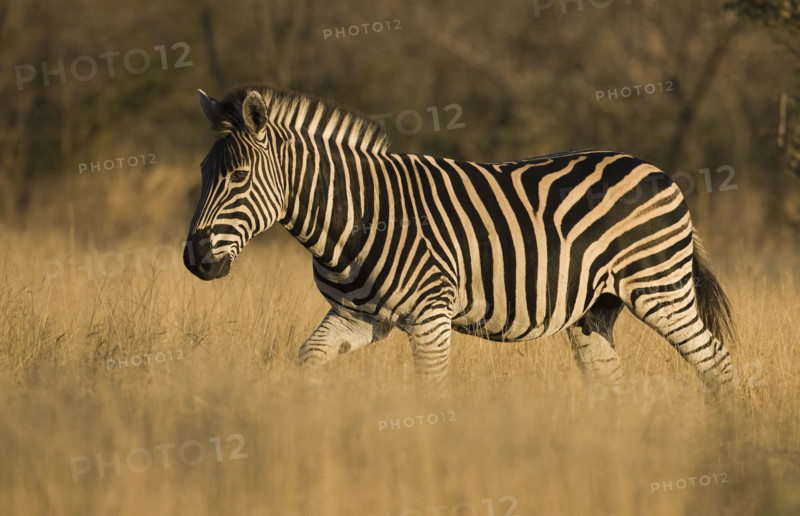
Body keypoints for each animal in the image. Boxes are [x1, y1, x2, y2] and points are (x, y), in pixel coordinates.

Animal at [183, 85, 734, 392]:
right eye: (204, 172)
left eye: (238, 177)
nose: (195, 260)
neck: (357, 218)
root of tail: (657, 171)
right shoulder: (358, 316)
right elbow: (308, 358)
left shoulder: (430, 315)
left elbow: (431, 394)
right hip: (594, 311)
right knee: (611, 381)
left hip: (660, 290)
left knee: (717, 362)